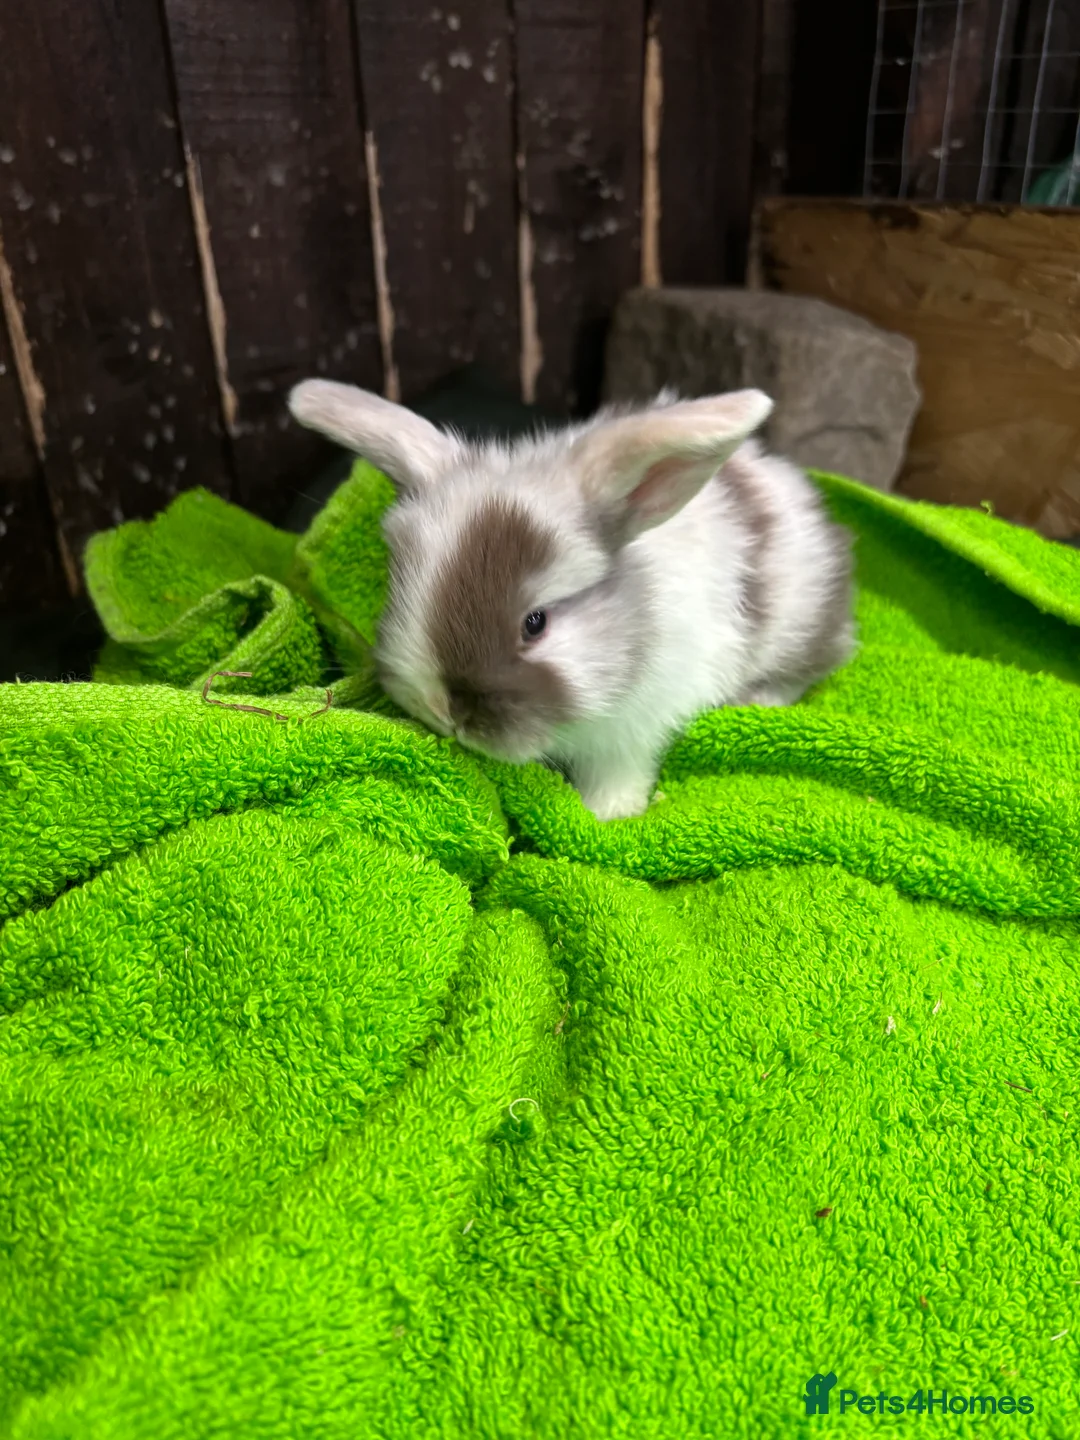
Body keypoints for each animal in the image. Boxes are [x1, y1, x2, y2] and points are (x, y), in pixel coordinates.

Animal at [288, 379, 855, 821]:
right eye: (398, 587)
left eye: (535, 622)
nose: (444, 710)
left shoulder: (634, 733)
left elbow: (619, 777)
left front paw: (607, 817)